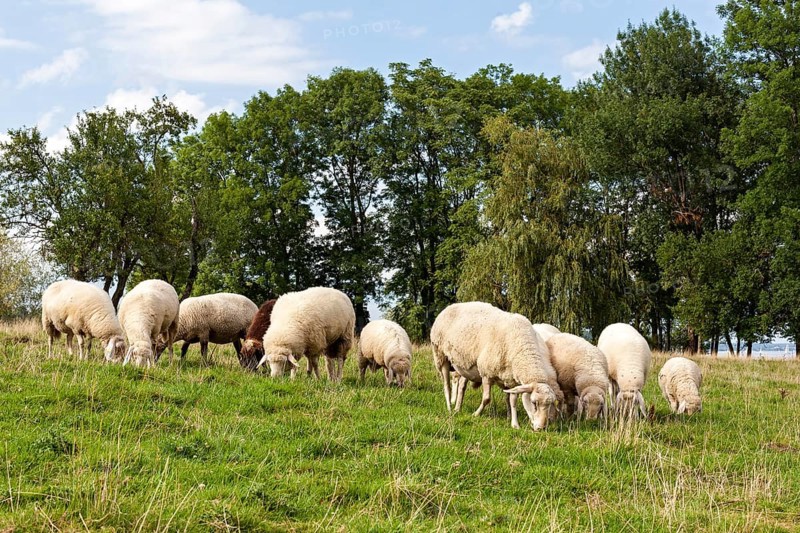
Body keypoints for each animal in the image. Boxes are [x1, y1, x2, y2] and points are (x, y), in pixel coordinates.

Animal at [430, 302, 560, 431]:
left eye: (550, 405)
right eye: (534, 403)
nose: (541, 428)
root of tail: (452, 305)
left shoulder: (511, 380)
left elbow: (512, 401)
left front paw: (514, 423)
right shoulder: (486, 373)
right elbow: (486, 398)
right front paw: (476, 414)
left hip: (465, 365)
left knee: (462, 385)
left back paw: (458, 408)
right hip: (440, 355)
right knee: (446, 385)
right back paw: (449, 407)